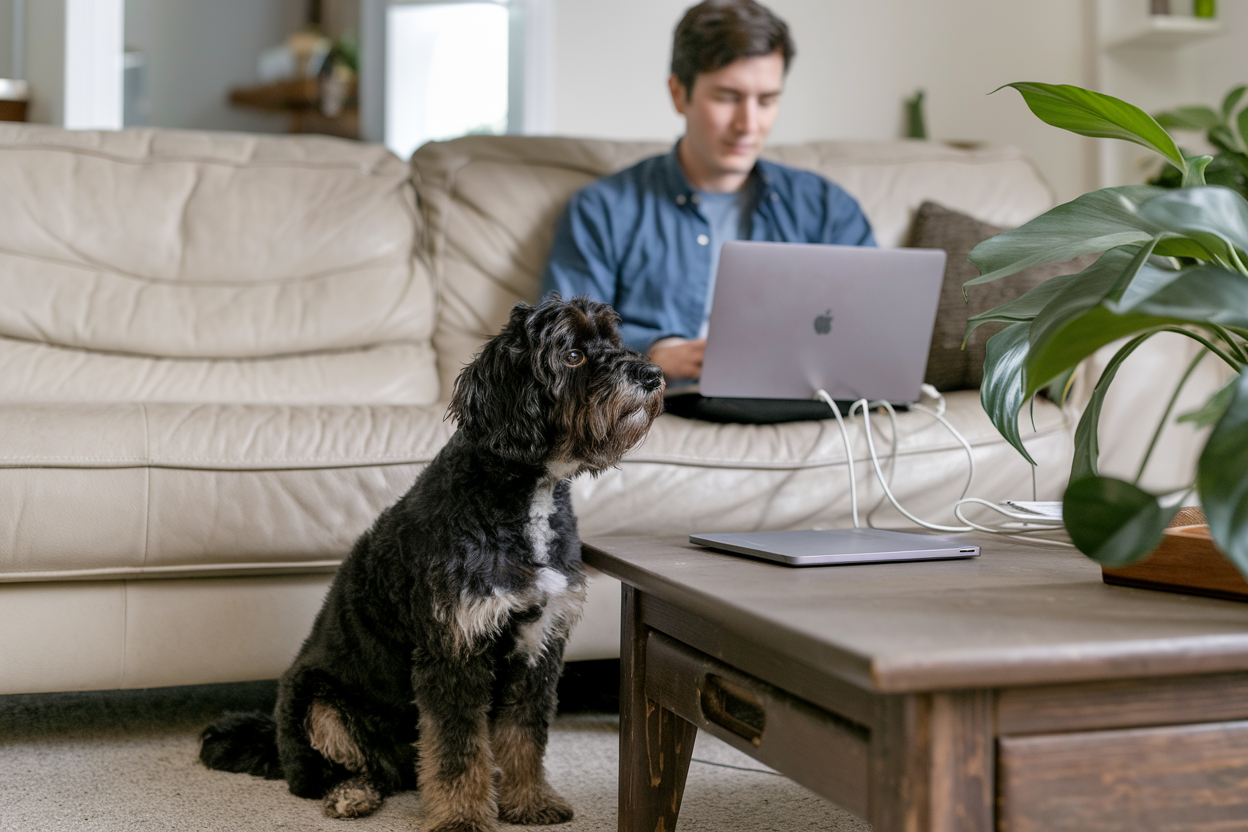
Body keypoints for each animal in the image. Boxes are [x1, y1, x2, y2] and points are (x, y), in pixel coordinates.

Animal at [202, 295, 663, 828]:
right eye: (571, 355)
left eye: (613, 341)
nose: (653, 374)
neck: (523, 497)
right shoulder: (454, 650)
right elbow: (457, 748)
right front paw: (462, 817)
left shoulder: (538, 644)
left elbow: (524, 735)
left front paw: (529, 800)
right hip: (316, 700)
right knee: (325, 773)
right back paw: (351, 793)